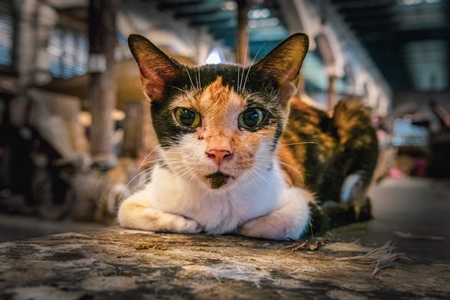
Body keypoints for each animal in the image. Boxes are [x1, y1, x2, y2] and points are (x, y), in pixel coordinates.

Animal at [118, 32, 378, 240]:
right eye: (186, 116)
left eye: (252, 117)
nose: (219, 152)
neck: (217, 198)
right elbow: (125, 209)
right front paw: (185, 223)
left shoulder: (296, 195)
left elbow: (294, 218)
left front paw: (241, 226)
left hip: (354, 116)